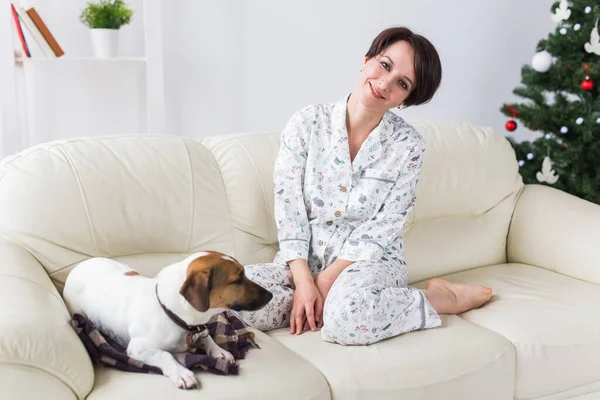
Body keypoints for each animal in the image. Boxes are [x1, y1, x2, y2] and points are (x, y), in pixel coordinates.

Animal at [63, 252, 274, 390]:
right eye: (237, 280)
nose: (271, 295)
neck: (170, 311)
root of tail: (80, 265)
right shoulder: (137, 349)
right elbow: (165, 355)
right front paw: (182, 373)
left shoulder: (200, 329)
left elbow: (206, 335)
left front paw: (218, 350)